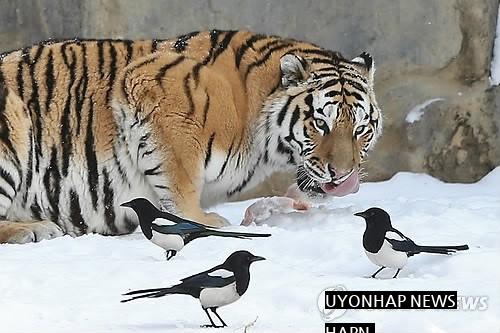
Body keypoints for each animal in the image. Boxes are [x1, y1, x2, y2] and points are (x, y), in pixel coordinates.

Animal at [0, 29, 380, 243]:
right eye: (321, 124)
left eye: (361, 128)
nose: (343, 176)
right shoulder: (154, 91)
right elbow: (180, 180)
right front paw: (204, 222)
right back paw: (34, 229)